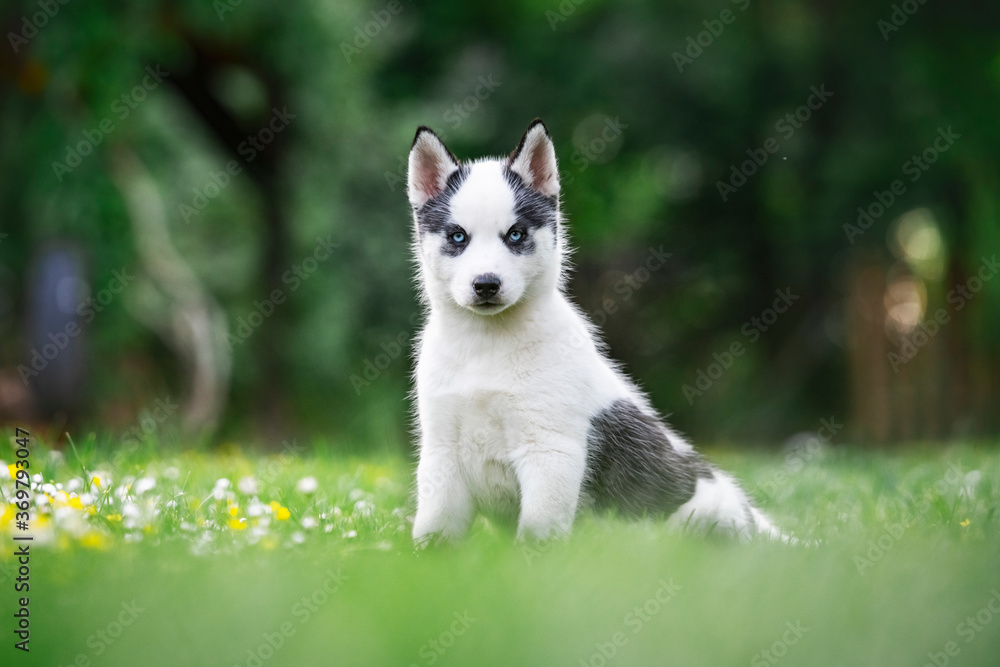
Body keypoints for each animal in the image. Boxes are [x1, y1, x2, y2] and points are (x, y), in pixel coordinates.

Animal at [406, 120, 780, 544]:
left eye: (516, 235)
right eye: (457, 237)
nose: (486, 284)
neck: (487, 346)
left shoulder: (550, 451)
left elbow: (537, 532)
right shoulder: (441, 450)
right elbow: (435, 527)